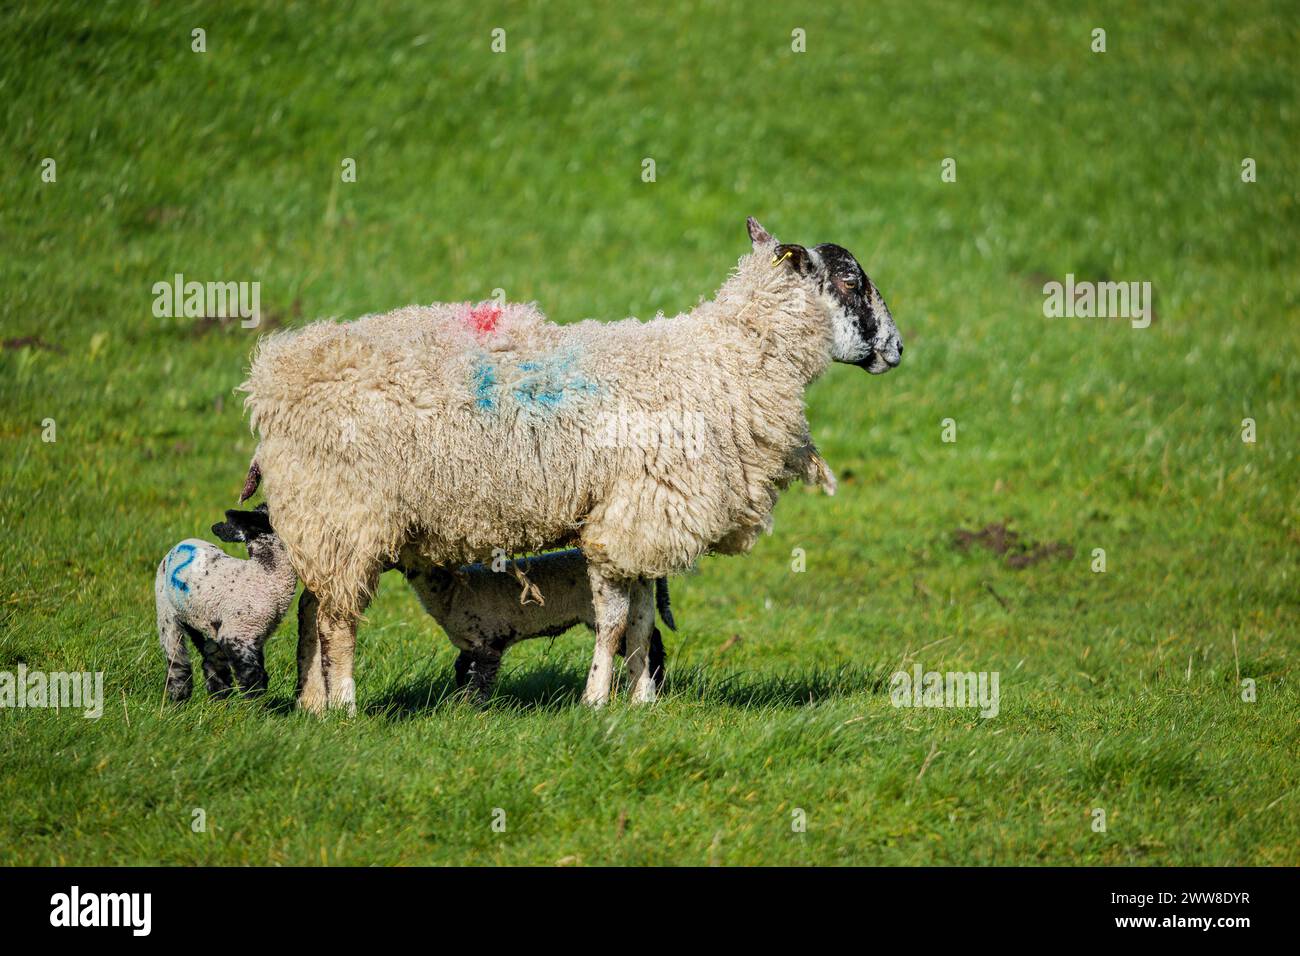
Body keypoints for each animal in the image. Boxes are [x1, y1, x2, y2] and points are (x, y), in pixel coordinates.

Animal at [155, 505, 297, 701]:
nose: (215, 526)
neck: (264, 575)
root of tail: (179, 545)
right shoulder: (237, 633)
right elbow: (251, 675)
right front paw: (256, 705)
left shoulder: (254, 637)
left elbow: (258, 671)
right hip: (166, 613)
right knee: (177, 662)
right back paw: (178, 699)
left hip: (209, 621)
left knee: (212, 662)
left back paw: (220, 699)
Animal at [240, 217, 900, 714]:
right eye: (849, 277)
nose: (897, 350)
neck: (726, 359)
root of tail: (271, 378)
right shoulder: (622, 520)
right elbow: (612, 623)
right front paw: (596, 701)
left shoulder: (640, 522)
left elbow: (641, 622)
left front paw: (642, 703)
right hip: (344, 511)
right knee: (335, 620)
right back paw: (347, 705)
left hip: (322, 516)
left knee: (311, 608)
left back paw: (312, 704)